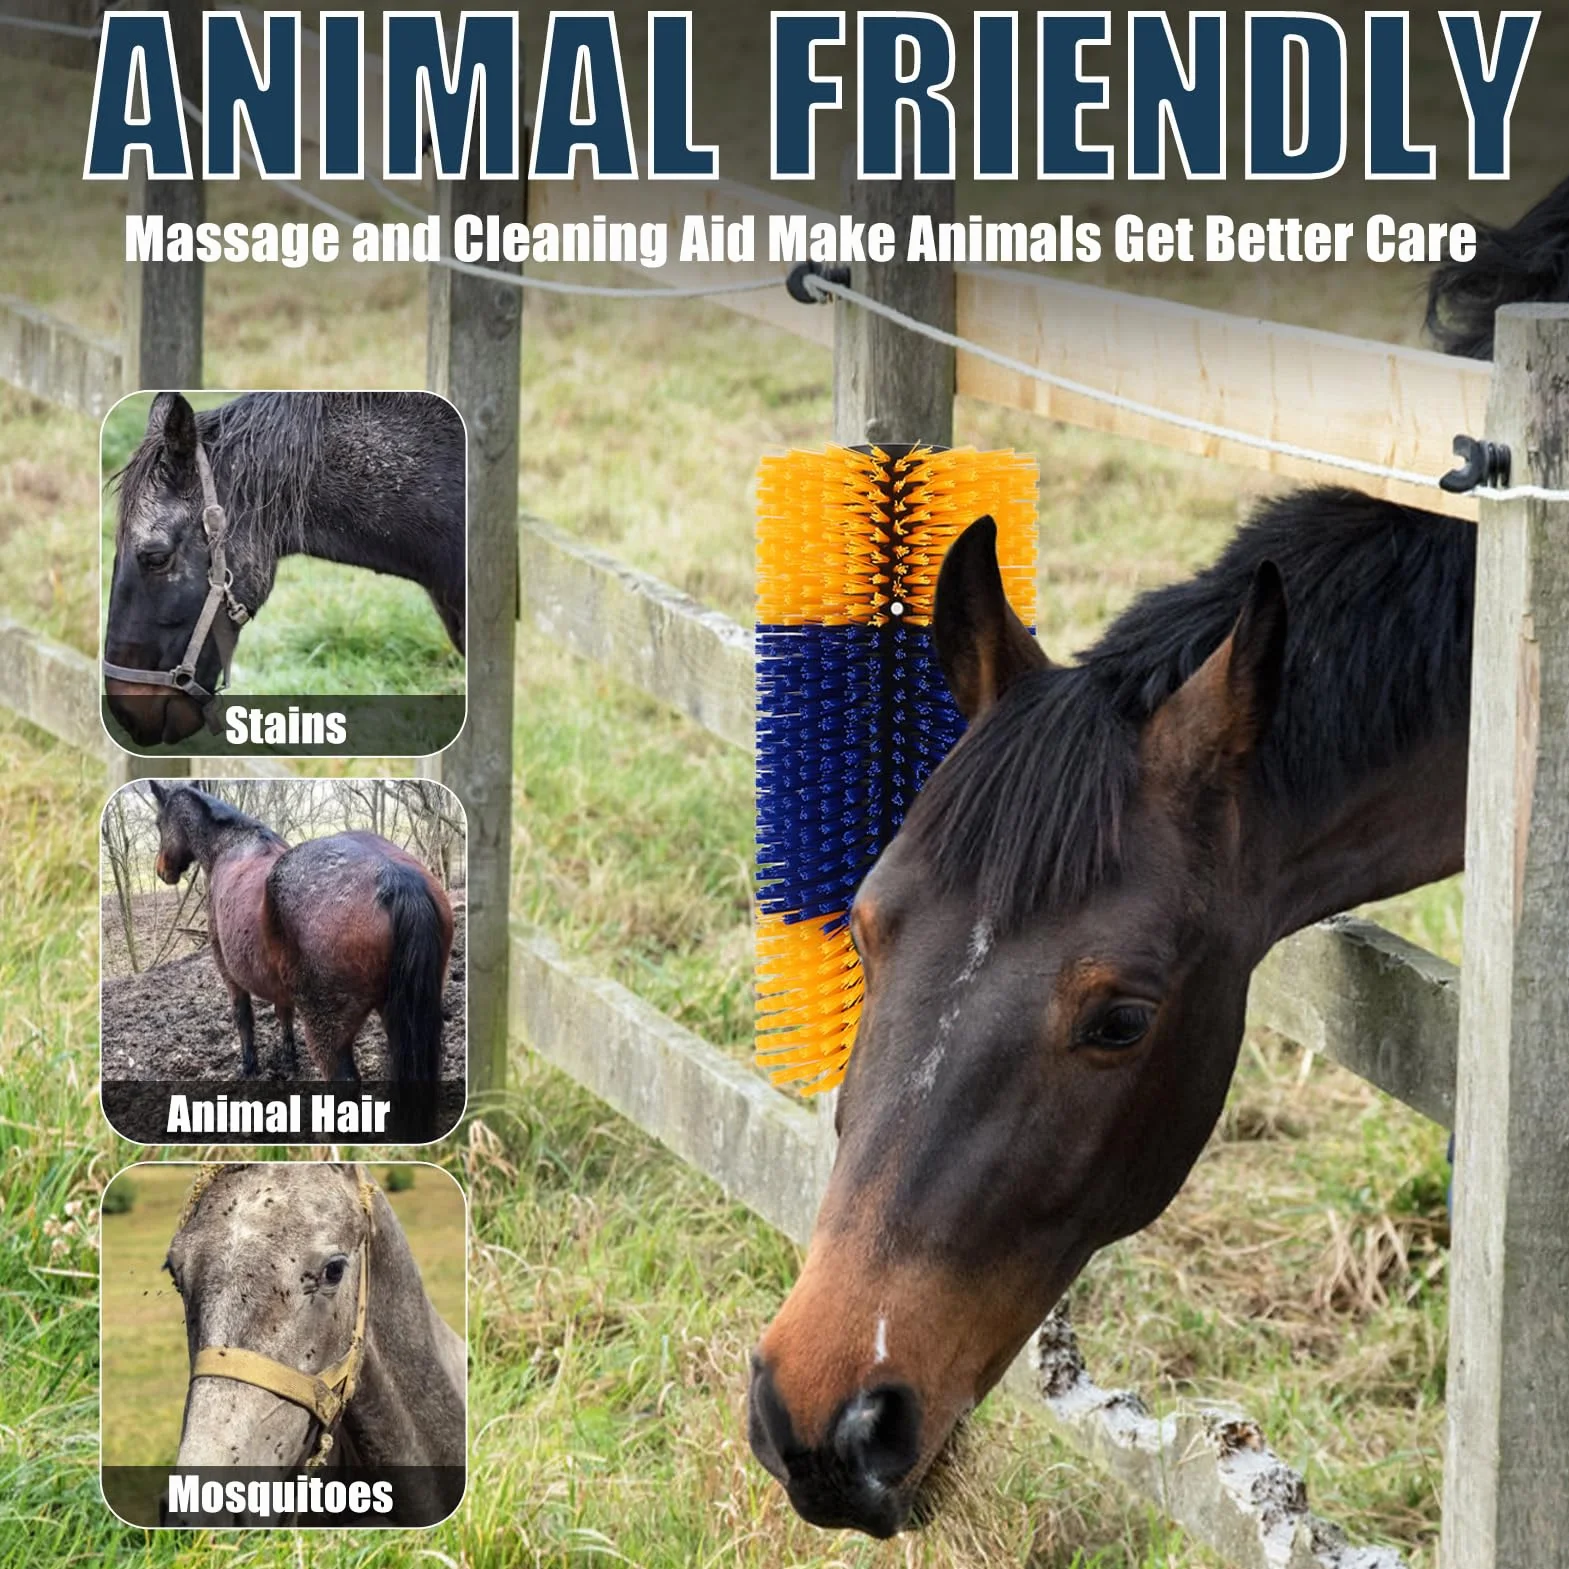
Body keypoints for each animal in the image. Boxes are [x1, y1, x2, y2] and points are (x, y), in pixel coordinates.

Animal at [148, 782, 454, 1140]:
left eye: (158, 823)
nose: (162, 870)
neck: (231, 847)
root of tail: (394, 877)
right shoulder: (281, 989)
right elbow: (284, 1017)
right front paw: (289, 1061)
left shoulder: (230, 976)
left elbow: (243, 1019)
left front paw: (249, 1067)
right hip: (399, 1015)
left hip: (328, 1029)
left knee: (344, 1086)